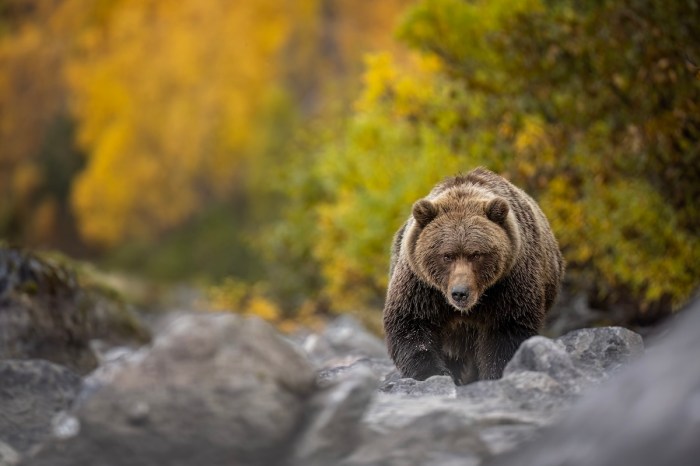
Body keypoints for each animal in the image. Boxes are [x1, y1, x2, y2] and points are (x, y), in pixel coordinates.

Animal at [383, 167, 564, 384]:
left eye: (476, 254)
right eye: (447, 255)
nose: (460, 293)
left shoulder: (510, 281)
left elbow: (507, 329)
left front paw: (496, 372)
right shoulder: (421, 284)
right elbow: (411, 323)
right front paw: (434, 372)